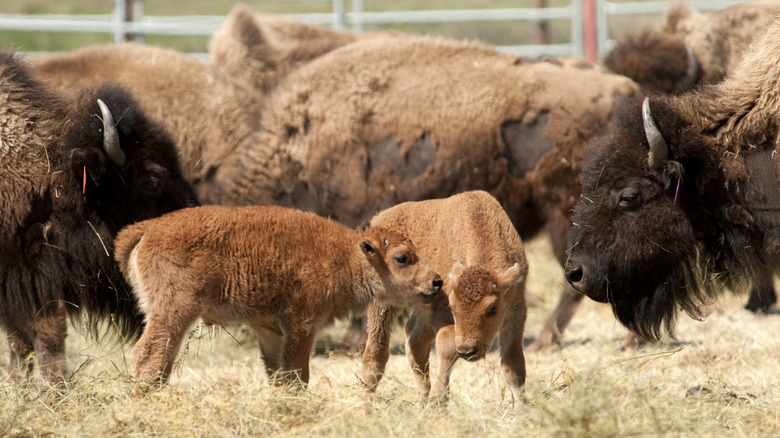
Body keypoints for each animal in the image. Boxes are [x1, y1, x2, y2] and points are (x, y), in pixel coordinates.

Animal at [113, 205, 442, 395]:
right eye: (402, 258)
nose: (436, 281)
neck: (345, 255)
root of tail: (148, 228)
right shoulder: (302, 325)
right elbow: (297, 374)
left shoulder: (270, 330)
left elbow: (276, 373)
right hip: (174, 312)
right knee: (149, 356)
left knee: (163, 360)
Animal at [362, 191, 527, 403]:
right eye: (453, 308)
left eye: (493, 309)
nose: (467, 351)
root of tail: (377, 221)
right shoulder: (444, 315)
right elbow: (447, 348)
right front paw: (437, 400)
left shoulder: (515, 312)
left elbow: (513, 366)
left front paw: (523, 407)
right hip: (384, 304)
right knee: (377, 350)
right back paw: (366, 399)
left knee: (414, 339)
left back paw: (423, 396)